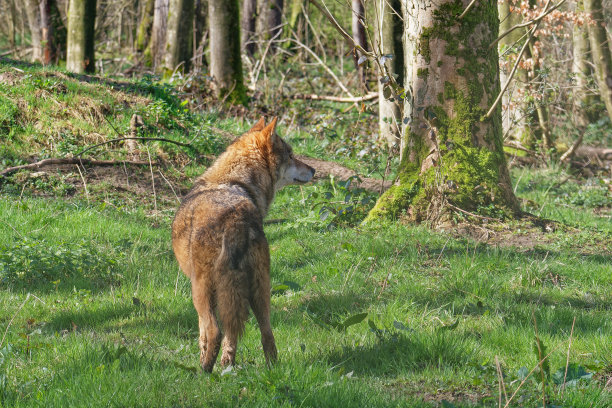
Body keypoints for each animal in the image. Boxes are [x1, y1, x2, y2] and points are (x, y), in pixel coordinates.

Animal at [172, 116, 316, 372]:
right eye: (290, 155)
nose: (314, 170)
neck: (234, 181)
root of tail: (236, 218)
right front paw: (226, 362)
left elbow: (201, 335)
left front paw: (203, 359)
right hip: (260, 288)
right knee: (264, 334)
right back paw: (261, 369)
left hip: (201, 290)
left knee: (215, 331)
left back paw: (204, 371)